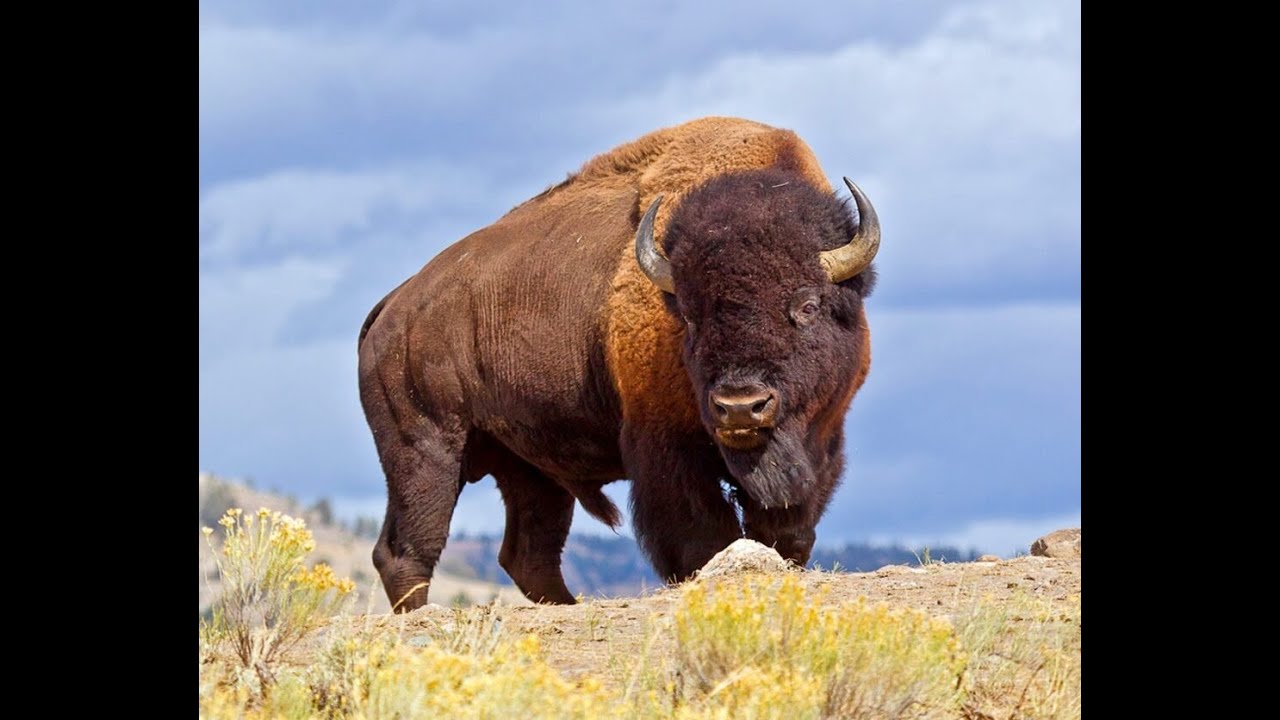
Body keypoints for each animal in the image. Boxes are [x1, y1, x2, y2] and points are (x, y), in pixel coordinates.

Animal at [360, 114, 880, 607]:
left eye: (808, 305)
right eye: (688, 315)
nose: (740, 406)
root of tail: (394, 305)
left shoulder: (820, 445)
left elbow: (788, 534)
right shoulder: (665, 450)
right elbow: (703, 540)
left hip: (528, 470)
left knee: (528, 553)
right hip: (426, 450)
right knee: (408, 549)